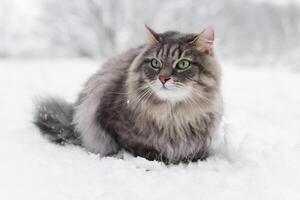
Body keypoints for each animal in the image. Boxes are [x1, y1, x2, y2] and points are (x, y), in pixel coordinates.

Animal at [34, 25, 223, 164]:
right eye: (155, 63)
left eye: (183, 64)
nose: (163, 78)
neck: (173, 115)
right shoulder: (111, 120)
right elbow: (135, 145)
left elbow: (196, 152)